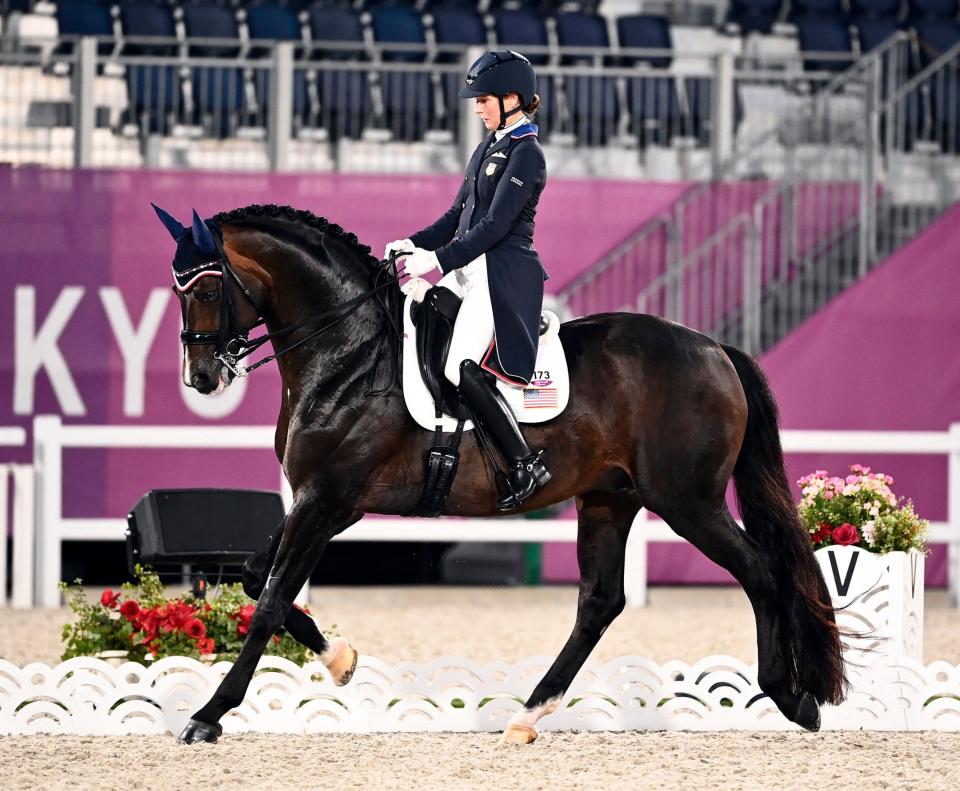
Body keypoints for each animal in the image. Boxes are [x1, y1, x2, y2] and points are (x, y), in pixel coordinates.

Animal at [159, 206, 848, 748]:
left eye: (208, 291)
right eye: (178, 290)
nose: (201, 377)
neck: (349, 353)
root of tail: (713, 348)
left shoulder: (327, 499)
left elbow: (272, 600)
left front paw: (209, 715)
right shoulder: (327, 501)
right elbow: (256, 579)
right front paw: (341, 660)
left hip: (688, 501)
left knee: (760, 571)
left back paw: (790, 697)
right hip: (610, 498)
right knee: (601, 602)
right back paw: (530, 714)